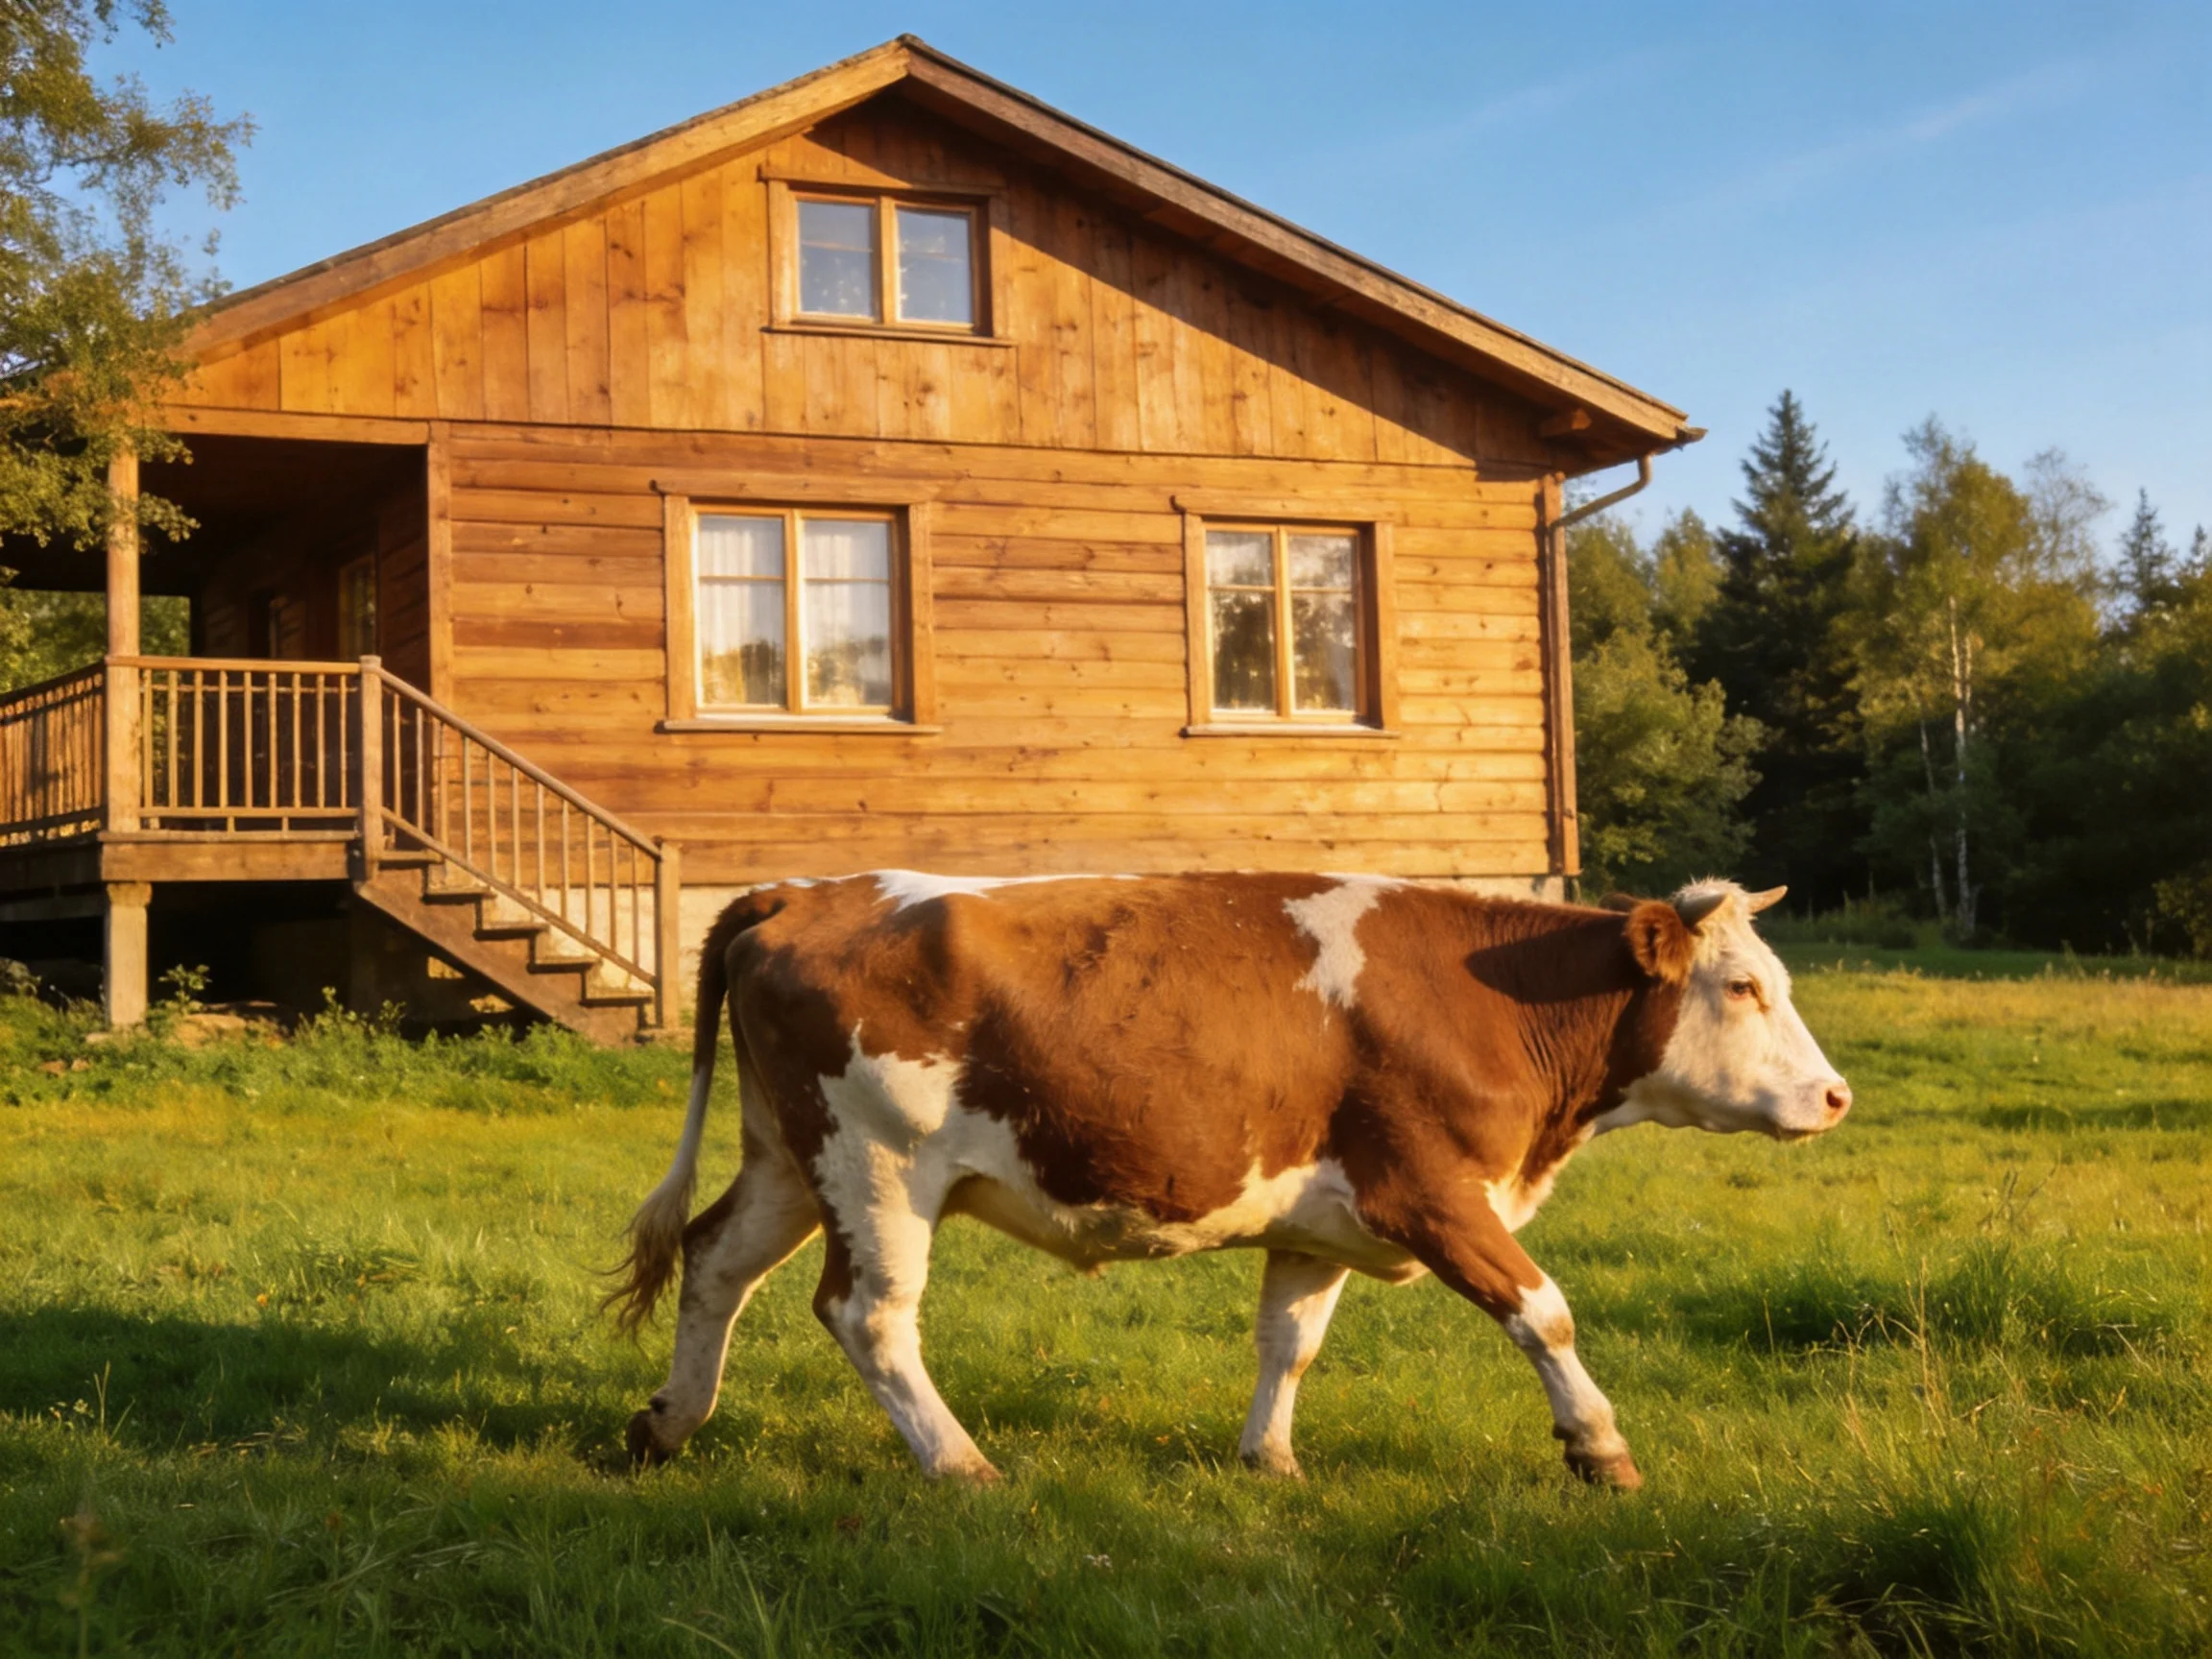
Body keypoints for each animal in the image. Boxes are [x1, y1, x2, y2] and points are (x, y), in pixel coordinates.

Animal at [609, 872, 1850, 1490]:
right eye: (1743, 987)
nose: (1836, 1097)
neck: (1494, 1000)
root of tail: (800, 892)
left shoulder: (1321, 1219)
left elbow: (1287, 1342)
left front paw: (1271, 1459)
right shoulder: (1429, 1193)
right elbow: (1544, 1312)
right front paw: (1598, 1448)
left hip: (789, 1156)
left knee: (715, 1262)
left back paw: (670, 1423)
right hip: (876, 1166)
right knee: (868, 1316)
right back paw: (959, 1464)